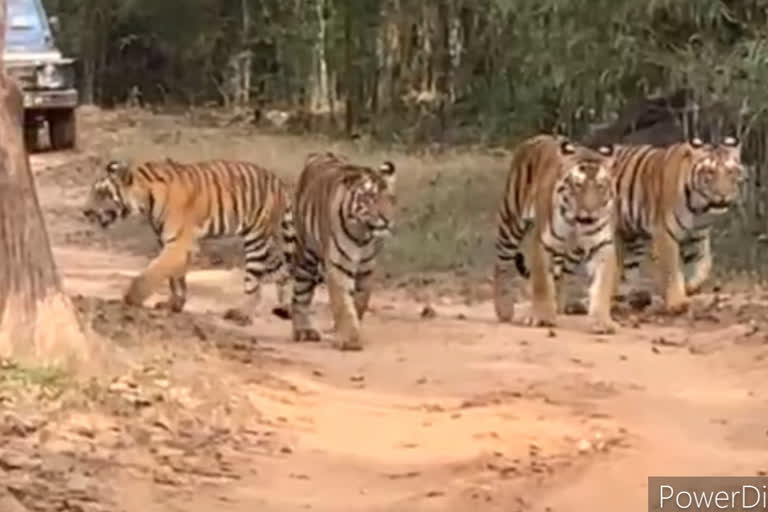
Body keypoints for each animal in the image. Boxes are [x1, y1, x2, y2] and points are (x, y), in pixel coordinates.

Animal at [82, 157, 296, 316]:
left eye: (102, 193)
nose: (85, 211)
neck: (145, 201)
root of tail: (278, 181)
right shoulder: (169, 243)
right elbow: (175, 278)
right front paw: (174, 304)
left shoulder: (177, 244)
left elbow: (153, 272)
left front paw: (130, 298)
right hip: (265, 242)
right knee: (282, 270)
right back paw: (286, 308)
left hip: (256, 239)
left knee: (254, 281)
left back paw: (241, 314)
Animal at [278, 151, 396, 352]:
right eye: (370, 198)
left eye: (391, 198)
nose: (387, 219)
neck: (362, 234)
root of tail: (318, 154)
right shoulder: (339, 265)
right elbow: (342, 302)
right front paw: (349, 340)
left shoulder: (366, 269)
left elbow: (359, 301)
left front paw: (347, 330)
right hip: (306, 257)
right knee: (300, 296)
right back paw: (303, 331)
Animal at [496, 134, 620, 334]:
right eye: (578, 185)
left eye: (600, 186)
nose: (589, 214)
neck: (576, 224)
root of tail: (540, 137)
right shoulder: (542, 243)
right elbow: (541, 283)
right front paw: (541, 317)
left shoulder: (603, 246)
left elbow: (602, 287)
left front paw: (603, 322)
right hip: (510, 220)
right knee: (502, 264)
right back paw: (504, 308)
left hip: (573, 254)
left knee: (561, 277)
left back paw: (559, 308)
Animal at [608, 134, 744, 314]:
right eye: (710, 172)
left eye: (731, 172)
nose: (723, 194)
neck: (699, 210)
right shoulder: (666, 234)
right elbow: (672, 270)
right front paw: (677, 302)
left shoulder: (697, 236)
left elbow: (705, 264)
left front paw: (691, 287)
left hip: (634, 238)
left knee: (629, 267)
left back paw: (635, 298)